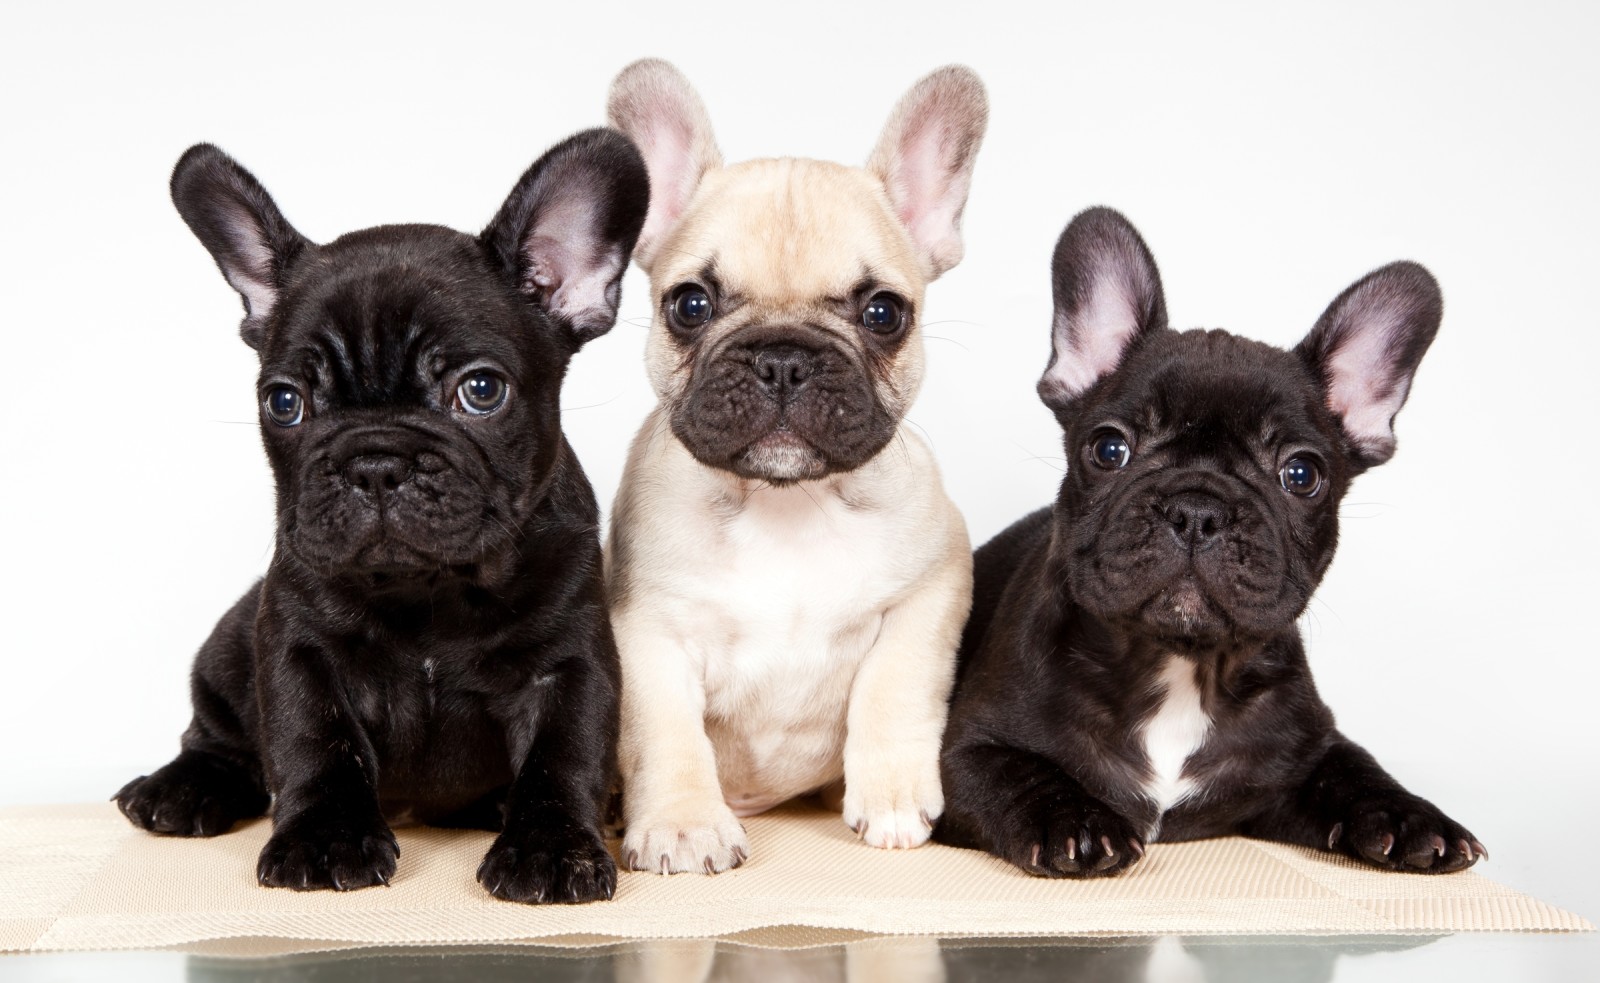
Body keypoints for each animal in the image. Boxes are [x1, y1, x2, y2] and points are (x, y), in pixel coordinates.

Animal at [112, 132, 652, 909]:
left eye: (480, 390)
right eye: (284, 401)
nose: (374, 461)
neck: (430, 590)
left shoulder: (569, 661)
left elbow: (564, 753)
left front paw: (552, 848)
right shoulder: (297, 647)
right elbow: (315, 741)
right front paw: (324, 838)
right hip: (227, 645)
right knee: (216, 735)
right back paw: (181, 788)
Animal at [604, 61, 985, 877]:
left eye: (883, 313)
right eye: (690, 304)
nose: (783, 357)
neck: (784, 502)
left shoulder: (934, 585)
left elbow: (894, 684)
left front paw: (893, 797)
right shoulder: (647, 632)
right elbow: (666, 732)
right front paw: (684, 823)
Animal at [934, 206, 1484, 877]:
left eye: (1301, 474)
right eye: (1108, 448)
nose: (1198, 509)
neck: (1180, 664)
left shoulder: (1303, 757)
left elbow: (1354, 769)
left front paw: (1411, 817)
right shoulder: (963, 753)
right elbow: (1016, 773)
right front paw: (1076, 821)